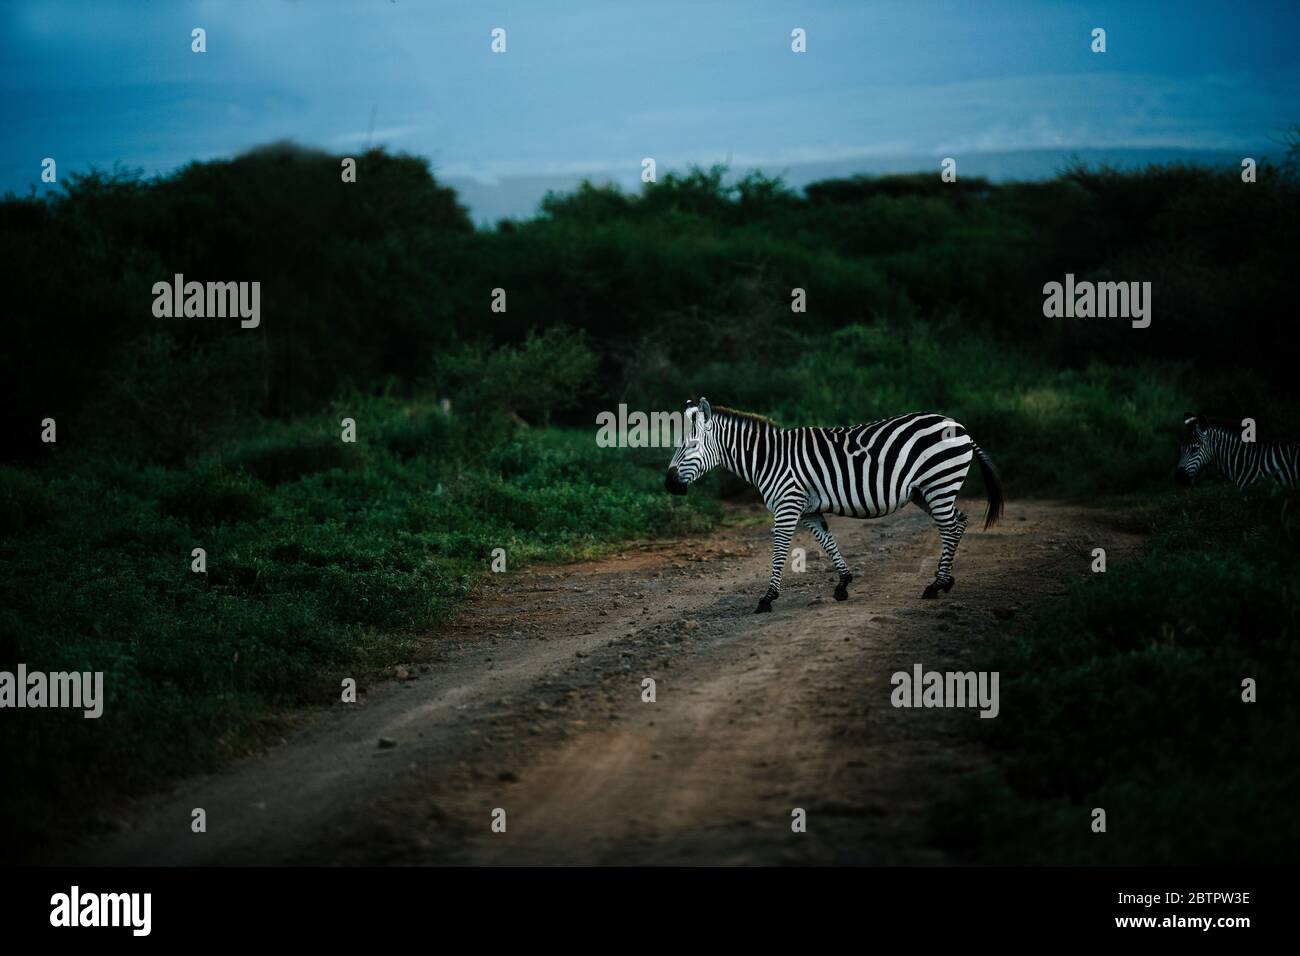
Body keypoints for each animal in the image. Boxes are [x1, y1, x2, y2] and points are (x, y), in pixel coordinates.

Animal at [665, 398, 998, 613]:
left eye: (690, 445)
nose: (668, 485)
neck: (768, 460)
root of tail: (959, 426)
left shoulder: (787, 505)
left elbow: (779, 551)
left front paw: (768, 598)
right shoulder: (809, 510)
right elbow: (827, 541)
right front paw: (843, 584)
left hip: (939, 483)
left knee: (951, 527)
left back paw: (936, 585)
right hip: (927, 491)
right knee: (959, 522)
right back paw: (945, 581)